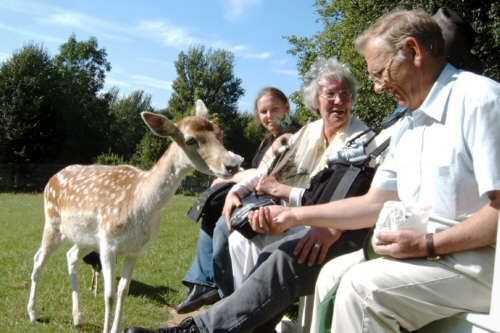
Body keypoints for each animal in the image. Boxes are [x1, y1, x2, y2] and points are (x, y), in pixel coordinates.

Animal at [26, 100, 239, 332]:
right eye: (190, 140)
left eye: (220, 133)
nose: (233, 164)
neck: (139, 203)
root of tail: (51, 179)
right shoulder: (109, 244)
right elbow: (109, 296)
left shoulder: (136, 249)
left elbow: (123, 292)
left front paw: (115, 327)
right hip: (53, 223)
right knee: (38, 260)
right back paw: (34, 313)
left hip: (86, 238)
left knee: (71, 256)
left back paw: (78, 317)